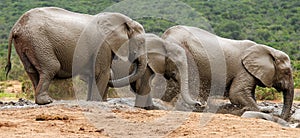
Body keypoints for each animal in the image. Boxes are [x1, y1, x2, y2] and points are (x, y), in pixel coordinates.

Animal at [6, 7, 148, 104]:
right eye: (141, 42)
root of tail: (16, 27)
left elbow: (94, 74)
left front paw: (91, 101)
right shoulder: (103, 46)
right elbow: (102, 72)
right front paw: (97, 101)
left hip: (27, 43)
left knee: (31, 70)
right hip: (38, 41)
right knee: (51, 67)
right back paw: (47, 101)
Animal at [161, 25, 294, 120]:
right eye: (286, 72)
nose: (281, 117)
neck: (268, 49)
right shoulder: (243, 70)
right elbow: (236, 93)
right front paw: (265, 110)